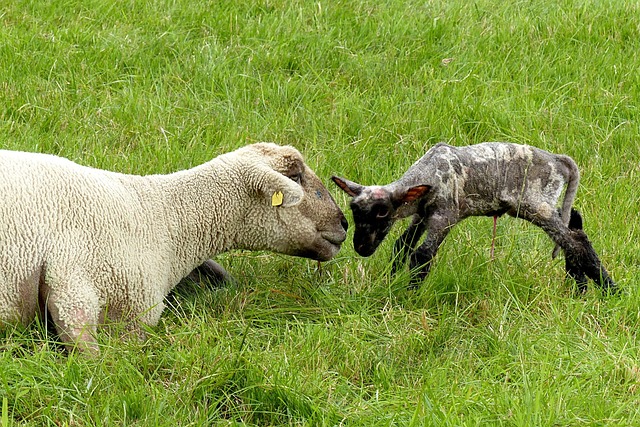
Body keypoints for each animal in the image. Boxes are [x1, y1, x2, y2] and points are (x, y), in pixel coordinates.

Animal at [332, 142, 615, 293]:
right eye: (353, 209)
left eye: (382, 211)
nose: (361, 248)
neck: (428, 174)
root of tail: (558, 160)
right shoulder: (423, 214)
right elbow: (402, 246)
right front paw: (390, 281)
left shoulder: (445, 215)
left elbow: (422, 254)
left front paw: (409, 294)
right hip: (546, 205)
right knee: (575, 232)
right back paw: (588, 287)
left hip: (536, 205)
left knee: (574, 242)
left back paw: (603, 290)